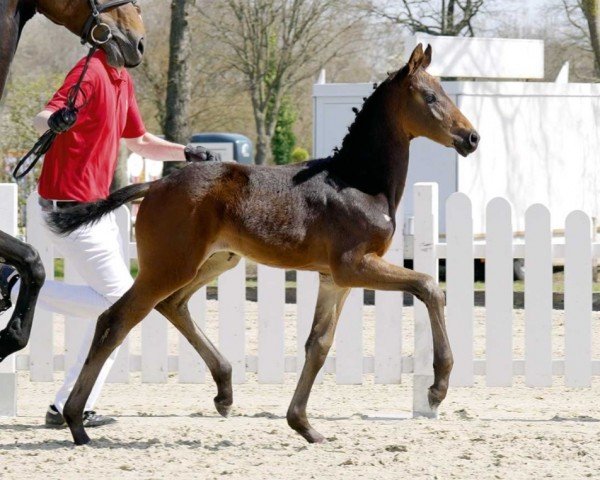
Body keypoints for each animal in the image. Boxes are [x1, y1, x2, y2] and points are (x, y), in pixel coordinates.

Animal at [49, 43, 480, 444]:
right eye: (430, 96)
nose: (472, 138)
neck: (356, 181)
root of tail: (154, 185)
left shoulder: (334, 279)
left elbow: (318, 344)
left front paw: (303, 425)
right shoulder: (354, 265)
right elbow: (429, 286)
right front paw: (438, 388)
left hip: (217, 260)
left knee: (172, 305)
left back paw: (224, 391)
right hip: (169, 266)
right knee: (115, 320)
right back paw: (75, 421)